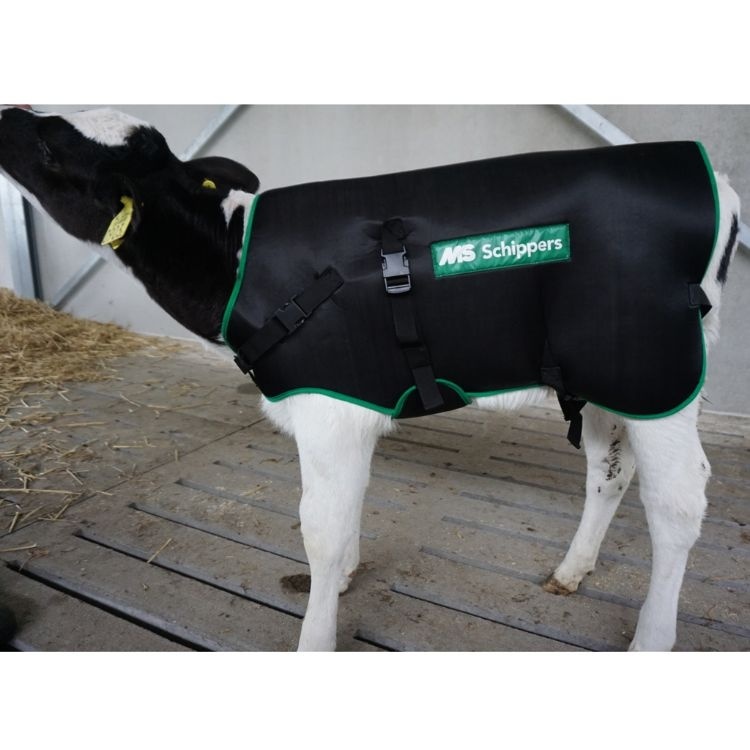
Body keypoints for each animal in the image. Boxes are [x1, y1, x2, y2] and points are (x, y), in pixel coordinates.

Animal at [0, 105, 741, 651]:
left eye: (52, 150)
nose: (9, 110)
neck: (236, 266)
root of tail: (719, 181)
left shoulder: (327, 411)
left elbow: (319, 528)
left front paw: (315, 638)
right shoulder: (347, 405)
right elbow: (348, 511)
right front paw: (347, 577)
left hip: (656, 370)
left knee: (679, 500)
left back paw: (651, 638)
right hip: (606, 378)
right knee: (610, 472)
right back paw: (571, 571)